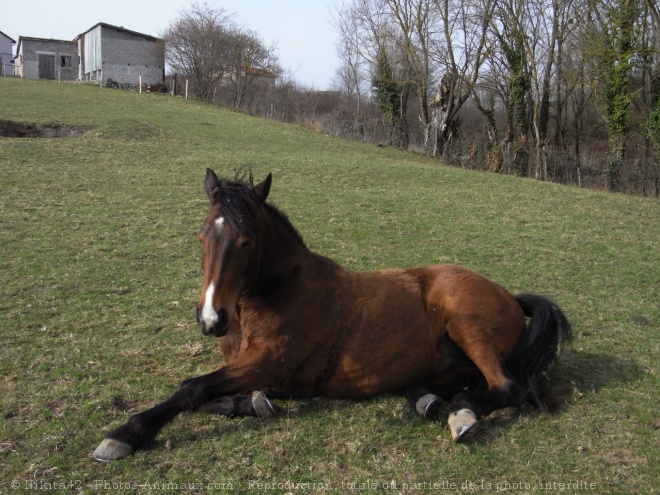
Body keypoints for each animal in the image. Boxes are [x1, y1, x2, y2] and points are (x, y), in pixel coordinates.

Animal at [94, 170, 572, 462]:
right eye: (200, 237)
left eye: (247, 242)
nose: (212, 318)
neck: (278, 290)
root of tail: (510, 296)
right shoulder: (254, 369)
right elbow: (214, 397)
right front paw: (255, 403)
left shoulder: (269, 362)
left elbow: (192, 389)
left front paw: (125, 434)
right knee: (460, 383)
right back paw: (431, 400)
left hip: (466, 323)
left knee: (506, 388)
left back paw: (463, 413)